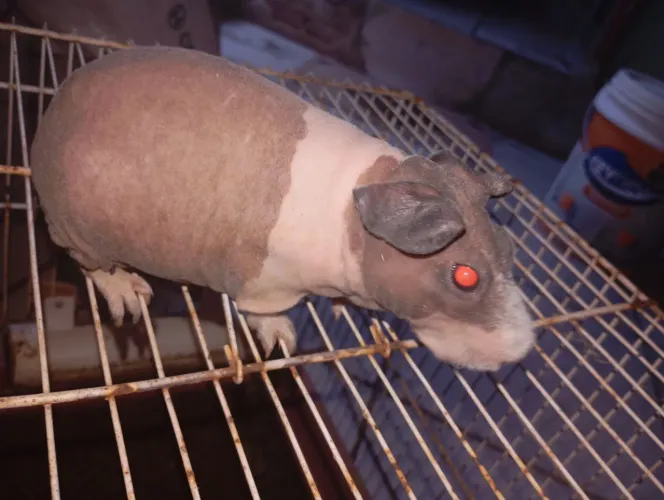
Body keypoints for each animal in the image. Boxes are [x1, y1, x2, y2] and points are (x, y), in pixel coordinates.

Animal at [29, 46, 535, 371]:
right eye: (465, 277)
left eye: (509, 249)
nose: (522, 349)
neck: (354, 215)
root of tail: (50, 118)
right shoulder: (266, 283)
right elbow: (265, 313)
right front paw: (283, 338)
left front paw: (339, 308)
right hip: (80, 231)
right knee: (91, 265)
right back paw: (128, 293)